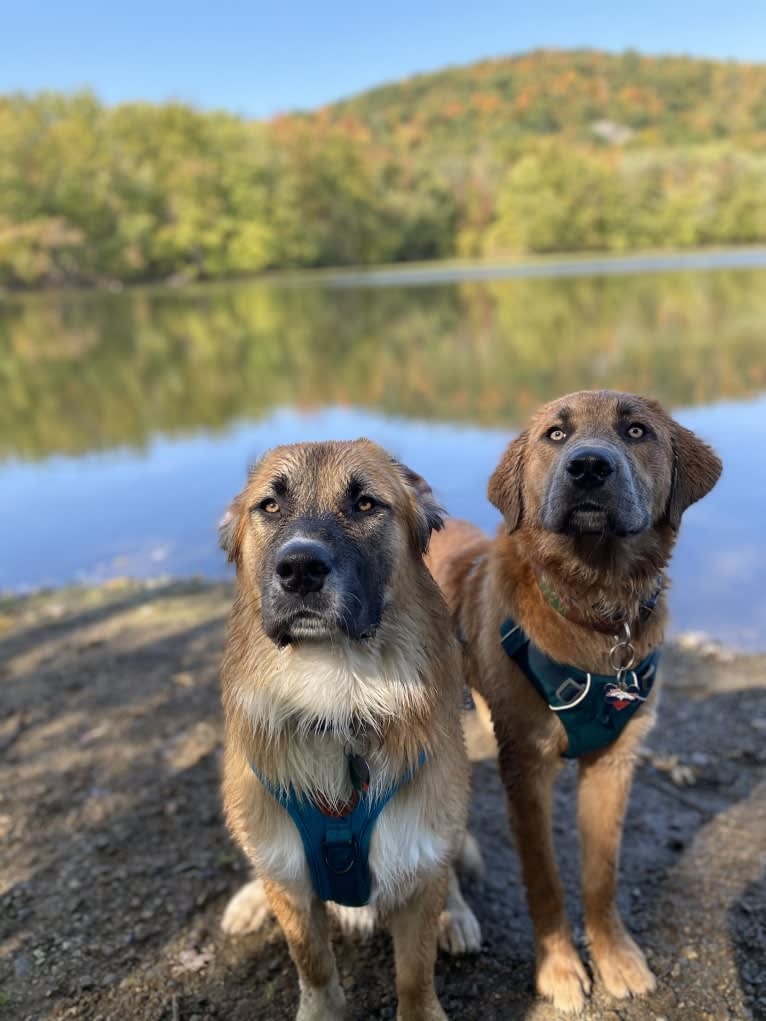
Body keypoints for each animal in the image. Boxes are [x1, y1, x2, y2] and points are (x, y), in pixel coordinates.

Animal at [216, 439, 480, 1021]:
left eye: (364, 505)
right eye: (270, 505)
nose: (300, 568)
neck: (336, 701)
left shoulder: (418, 857)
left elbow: (415, 975)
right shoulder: (292, 884)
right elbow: (313, 965)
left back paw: (456, 915)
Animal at [428, 390, 723, 1012]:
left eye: (636, 431)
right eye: (556, 436)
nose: (589, 466)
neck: (596, 608)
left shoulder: (614, 764)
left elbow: (600, 875)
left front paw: (615, 958)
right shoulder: (526, 768)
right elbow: (545, 880)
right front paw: (560, 968)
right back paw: (450, 917)